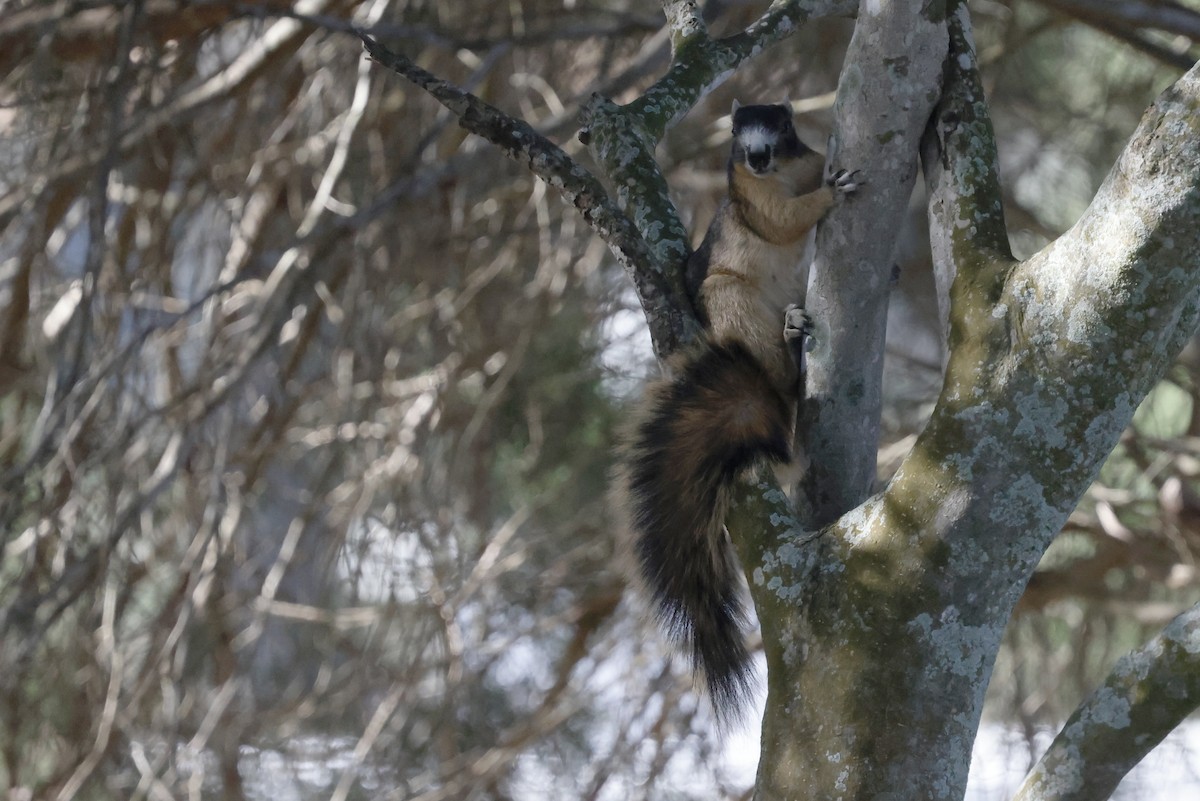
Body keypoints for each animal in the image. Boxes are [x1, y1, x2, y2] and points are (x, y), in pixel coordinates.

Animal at [614, 101, 860, 724]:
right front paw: (833, 194)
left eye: (783, 125)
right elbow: (783, 219)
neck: (782, 175)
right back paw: (788, 349)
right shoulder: (754, 201)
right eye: (734, 130)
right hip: (733, 301)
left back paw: (795, 331)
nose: (757, 155)